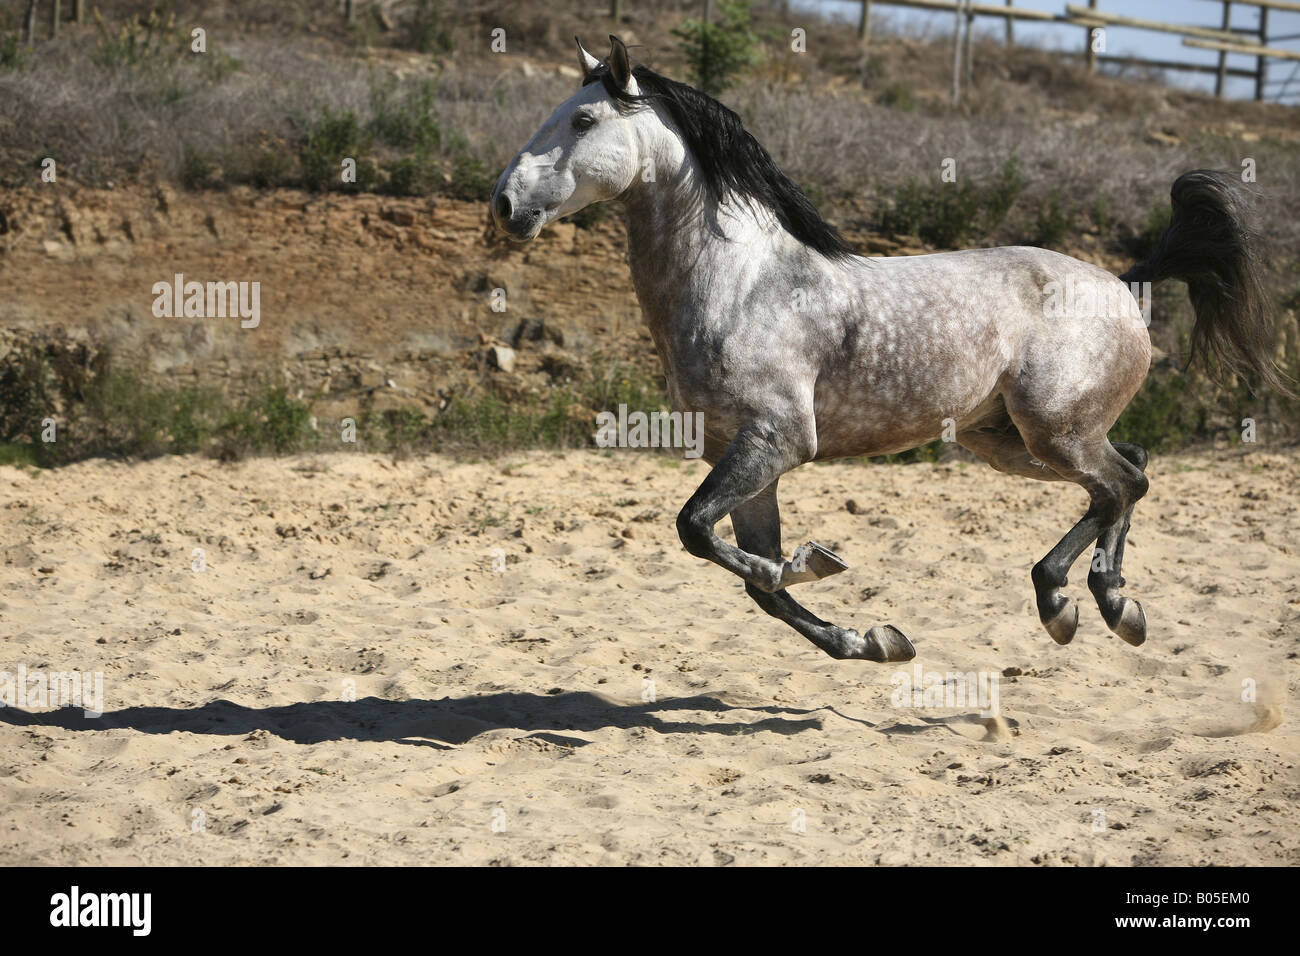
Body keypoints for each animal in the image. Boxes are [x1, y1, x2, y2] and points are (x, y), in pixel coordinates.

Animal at [488, 35, 1289, 665]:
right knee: (1131, 473)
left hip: (1054, 432)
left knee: (1122, 485)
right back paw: (1104, 601)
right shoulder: (745, 458)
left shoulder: (777, 440)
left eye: (583, 119)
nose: (503, 203)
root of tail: (1123, 283)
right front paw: (874, 640)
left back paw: (1077, 604)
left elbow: (712, 541)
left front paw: (813, 562)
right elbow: (747, 573)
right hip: (1010, 442)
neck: (742, 284)